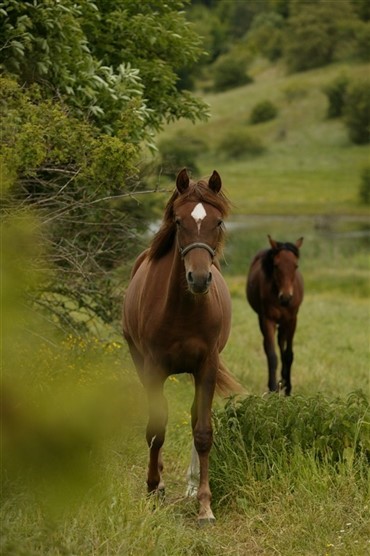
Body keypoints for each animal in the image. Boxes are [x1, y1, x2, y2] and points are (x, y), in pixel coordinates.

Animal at [123, 167, 241, 524]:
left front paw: (204, 506)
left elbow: (202, 431)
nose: (199, 279)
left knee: (192, 418)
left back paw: (190, 487)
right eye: (178, 221)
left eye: (217, 221)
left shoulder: (206, 367)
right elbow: (155, 429)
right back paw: (160, 483)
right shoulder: (153, 368)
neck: (182, 309)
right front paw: (152, 488)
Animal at [246, 235, 304, 396]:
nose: (286, 297)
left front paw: (288, 388)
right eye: (276, 265)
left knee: (281, 342)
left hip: (284, 322)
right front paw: (272, 388)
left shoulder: (292, 320)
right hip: (262, 319)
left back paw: (283, 381)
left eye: (295, 266)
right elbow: (272, 355)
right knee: (268, 346)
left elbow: (288, 354)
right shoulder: (267, 320)